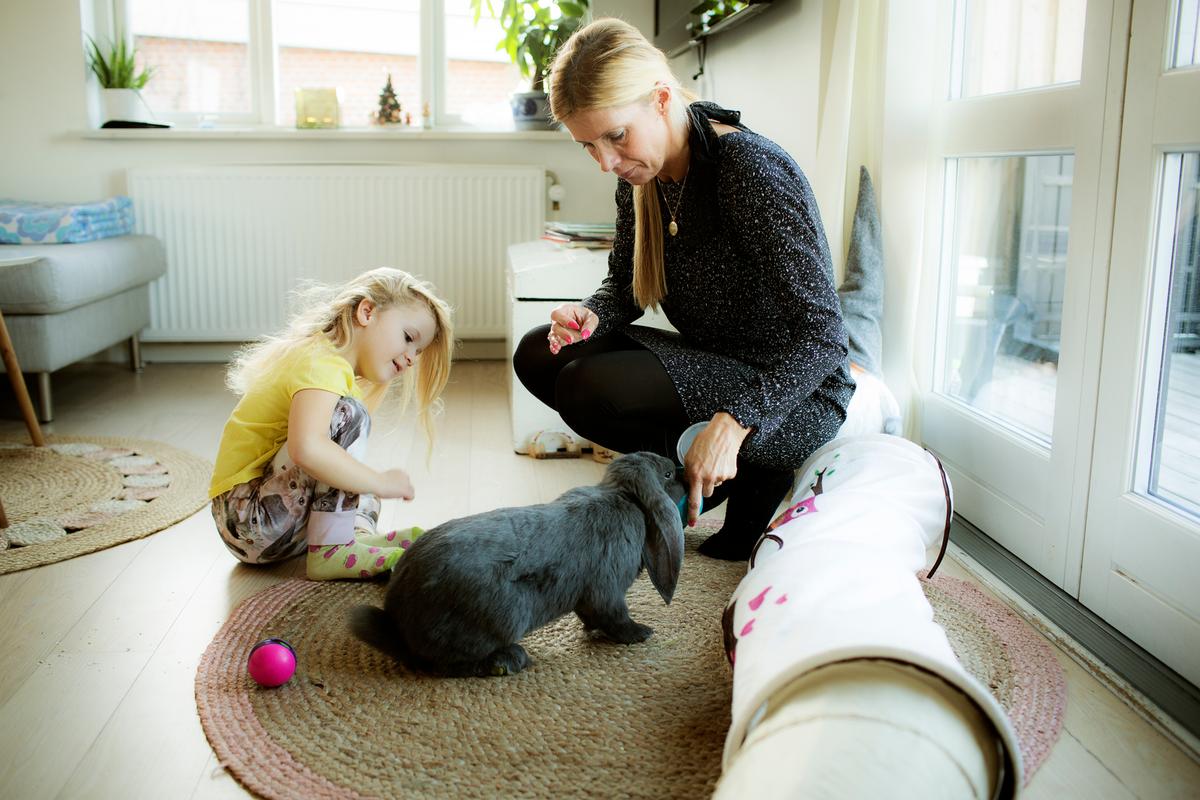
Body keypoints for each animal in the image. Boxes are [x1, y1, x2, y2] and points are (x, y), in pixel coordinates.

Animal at [348, 450, 686, 676]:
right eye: (667, 475)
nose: (683, 473)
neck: (624, 496)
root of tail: (399, 623)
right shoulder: (607, 590)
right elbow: (614, 616)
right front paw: (641, 634)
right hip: (505, 616)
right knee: (442, 664)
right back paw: (509, 660)